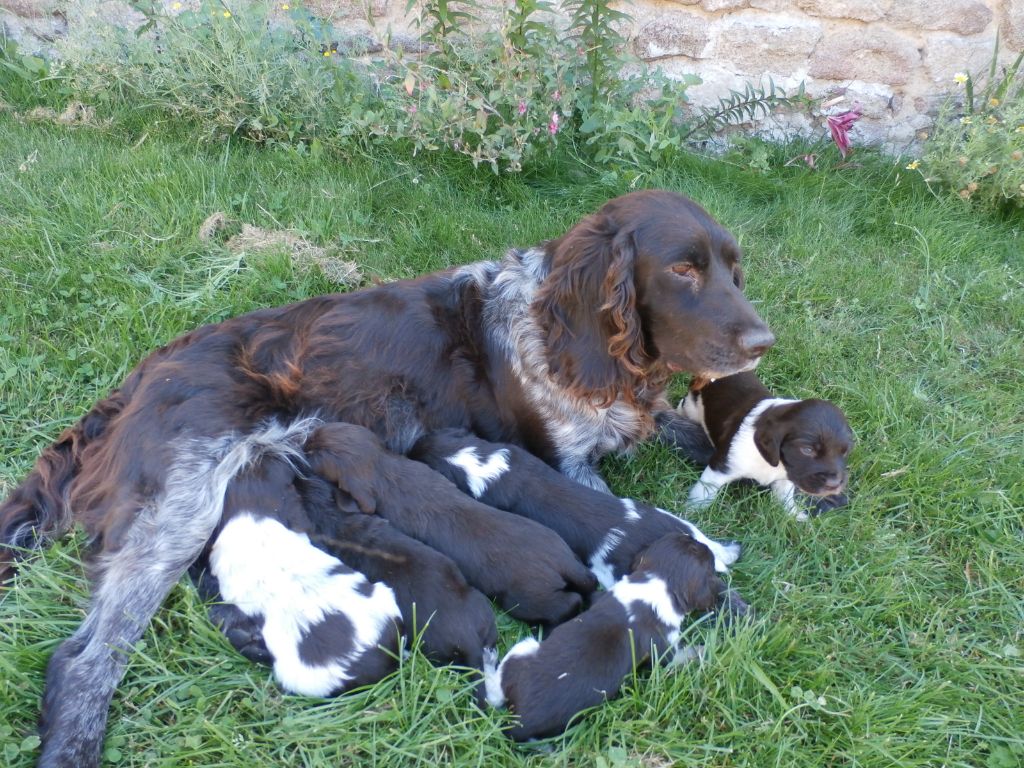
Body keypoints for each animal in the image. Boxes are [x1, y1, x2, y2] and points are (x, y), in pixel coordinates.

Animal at [483, 532, 733, 741]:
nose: (704, 544)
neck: (660, 581)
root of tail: (518, 722)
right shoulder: (664, 651)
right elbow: (679, 656)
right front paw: (706, 649)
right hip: (522, 649)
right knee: (493, 692)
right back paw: (488, 659)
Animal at [679, 372, 856, 524]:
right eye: (807, 450)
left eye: (845, 451)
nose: (834, 485)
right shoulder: (722, 467)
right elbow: (703, 492)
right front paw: (692, 513)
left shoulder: (786, 478)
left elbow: (785, 498)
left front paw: (794, 515)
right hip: (691, 407)